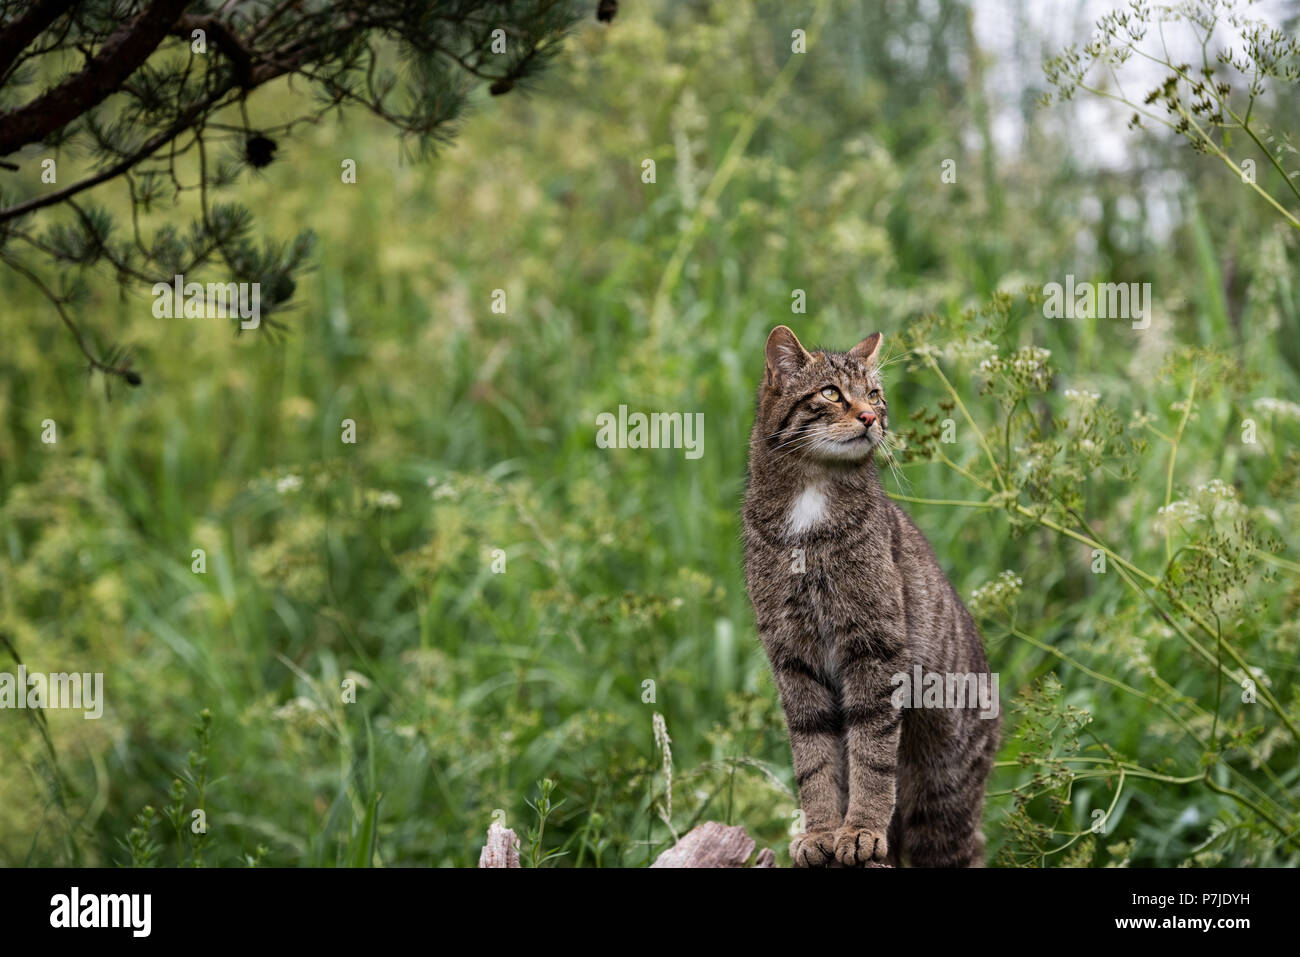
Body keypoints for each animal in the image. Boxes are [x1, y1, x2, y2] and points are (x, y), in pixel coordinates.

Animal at [743, 327, 993, 868]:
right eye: (831, 393)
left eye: (875, 394)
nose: (871, 417)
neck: (810, 506)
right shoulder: (792, 657)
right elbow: (813, 760)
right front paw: (821, 832)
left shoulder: (874, 647)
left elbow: (872, 755)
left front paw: (859, 829)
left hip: (942, 798)